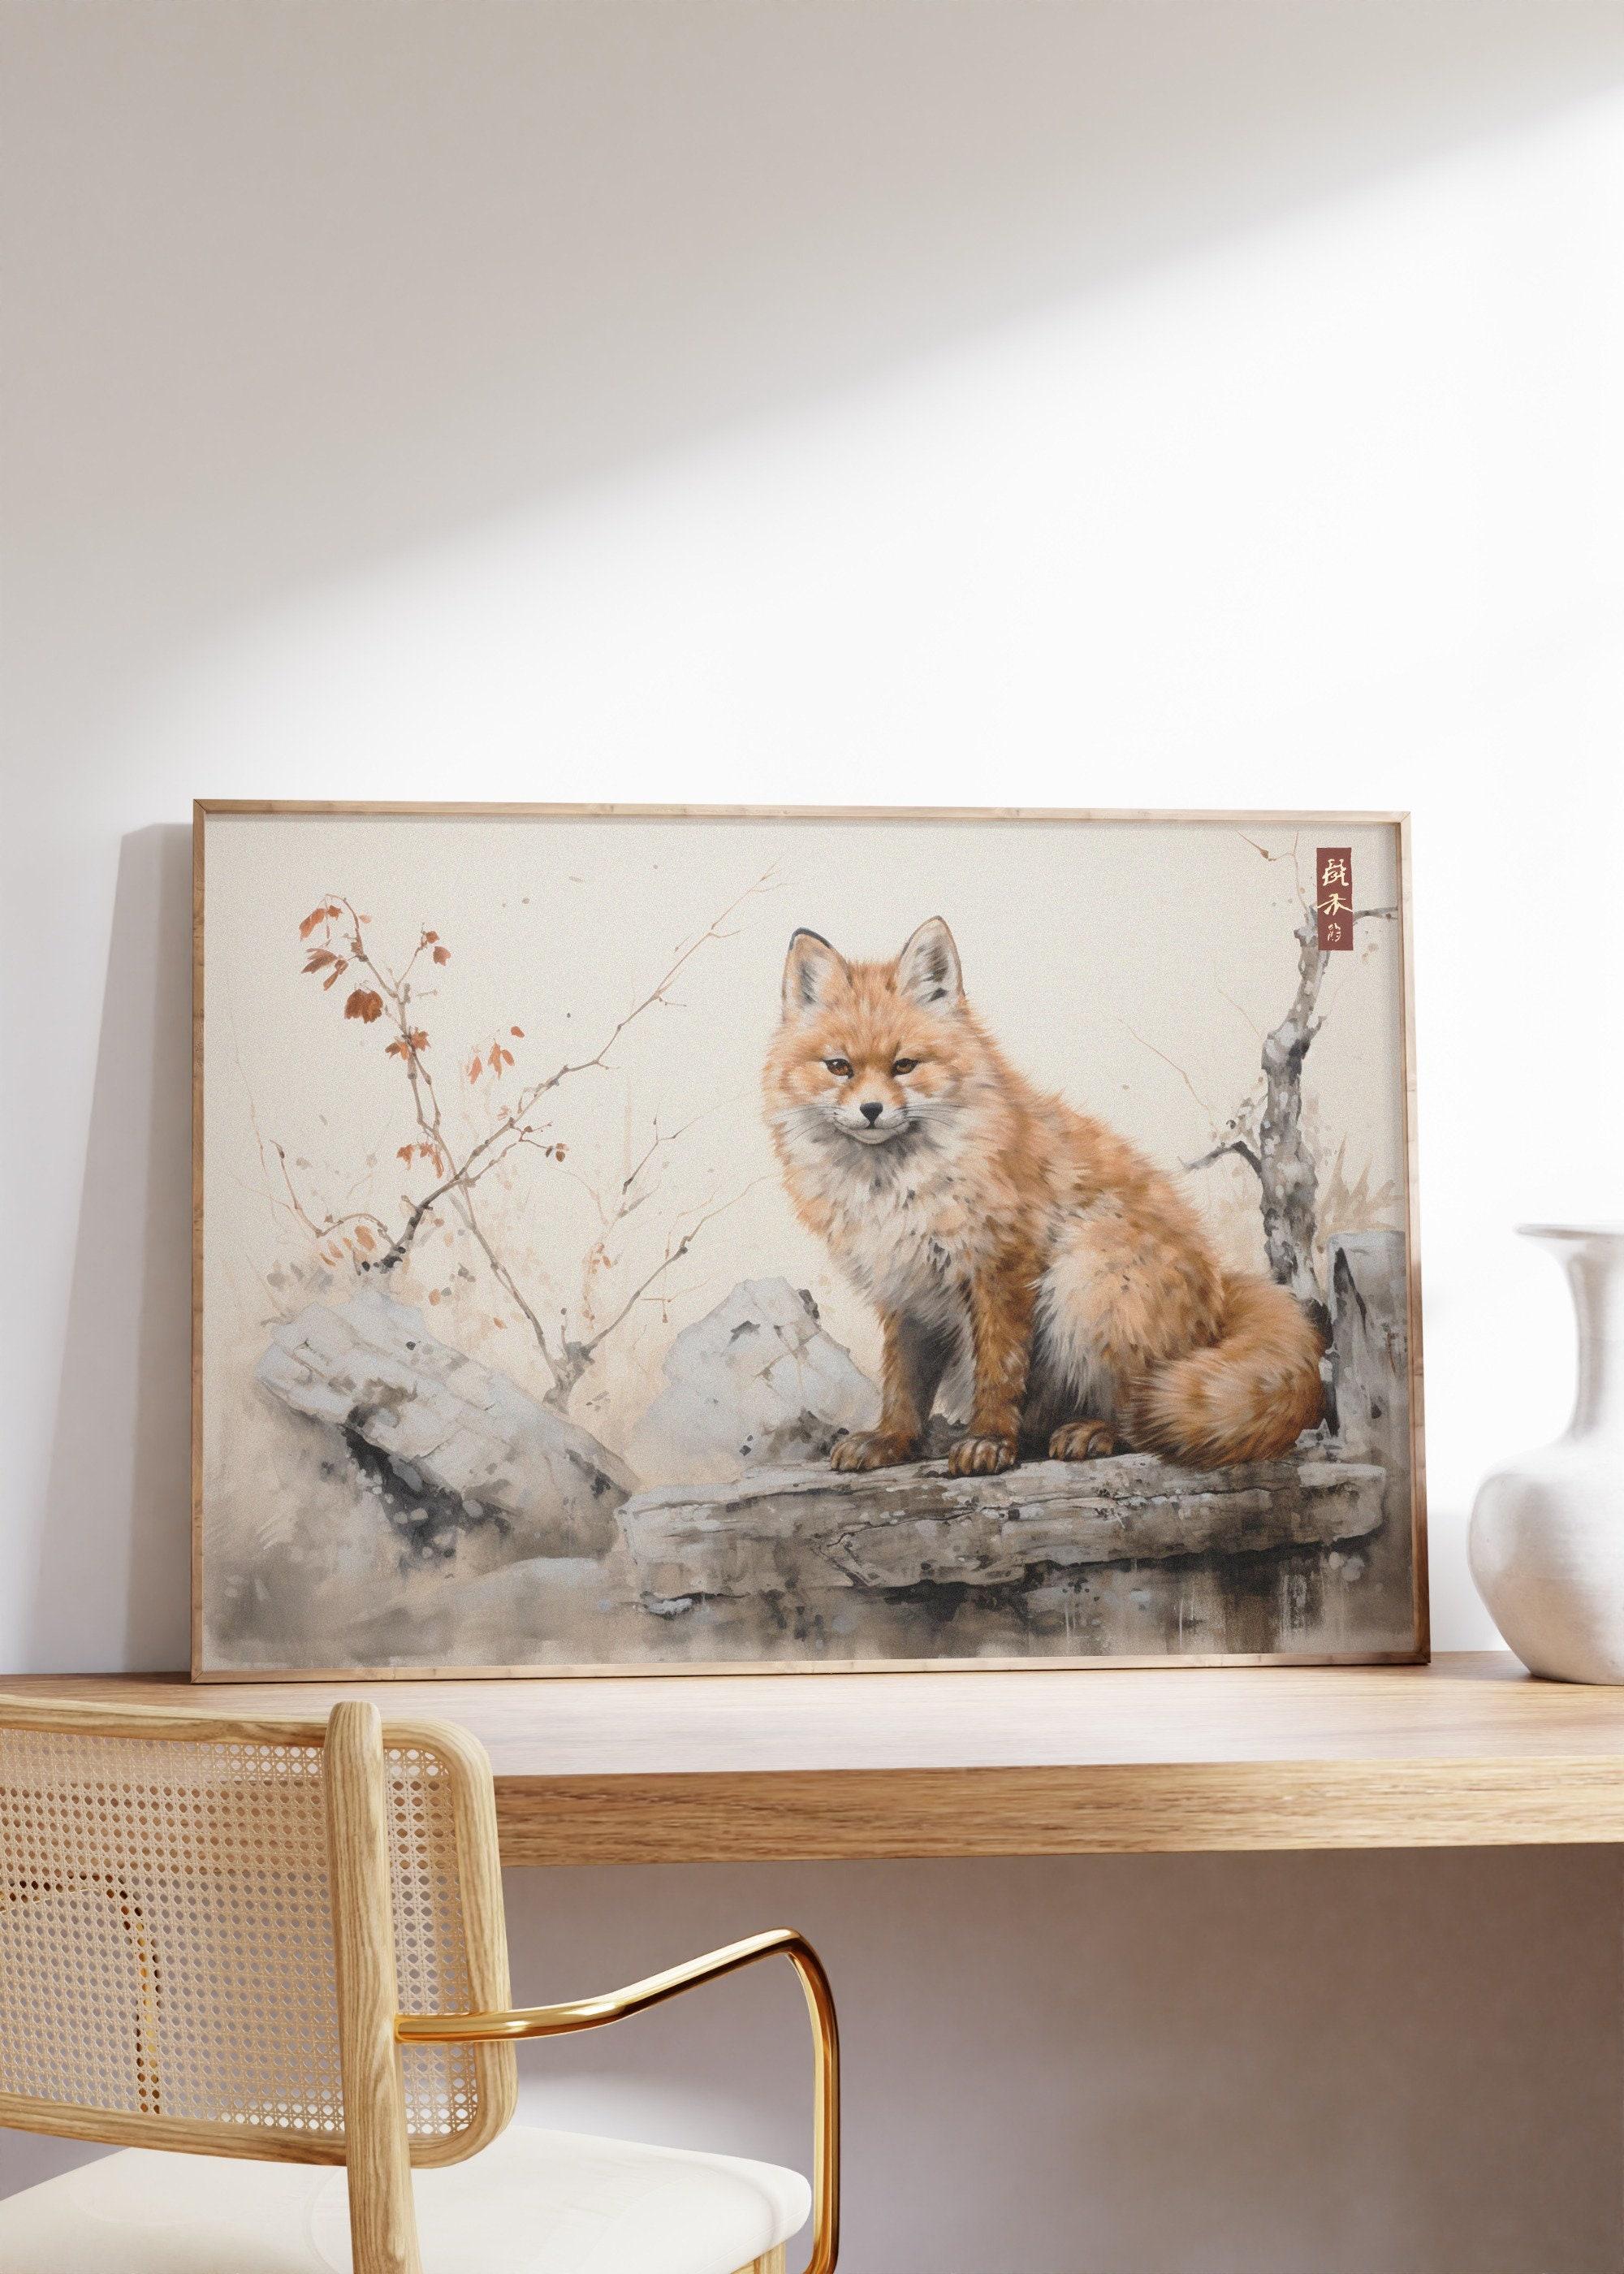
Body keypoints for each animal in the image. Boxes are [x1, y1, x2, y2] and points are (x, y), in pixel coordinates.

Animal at [763, 917, 1324, 1479]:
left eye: (905, 1065)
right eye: (839, 1067)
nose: (872, 1110)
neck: (895, 1189)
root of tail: (1221, 1297)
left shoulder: (1002, 1264)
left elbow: (999, 1370)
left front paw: (989, 1440)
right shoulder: (908, 1290)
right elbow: (904, 1382)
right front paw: (891, 1440)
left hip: (1089, 1277)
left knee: (1143, 1408)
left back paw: (1094, 1432)